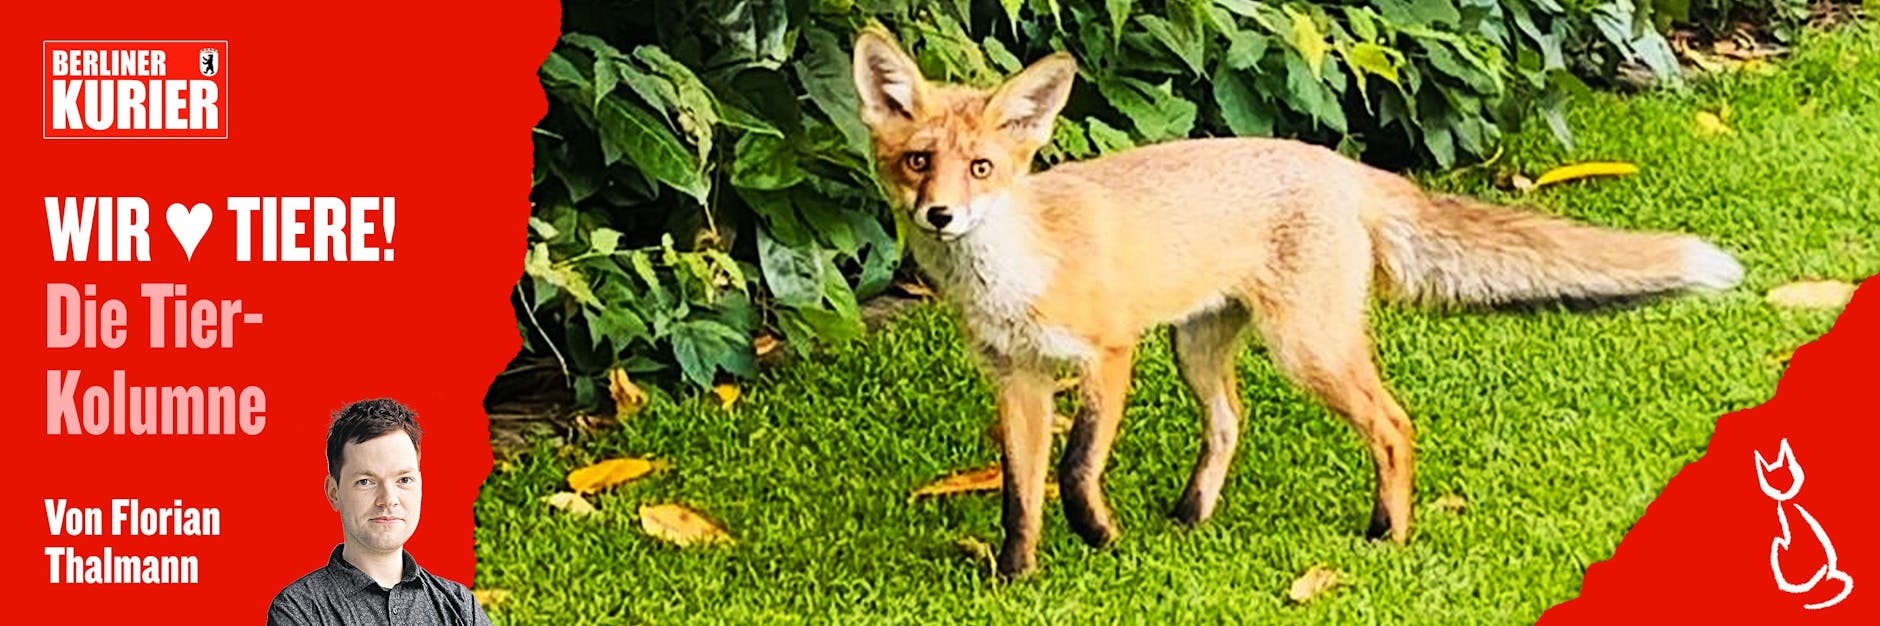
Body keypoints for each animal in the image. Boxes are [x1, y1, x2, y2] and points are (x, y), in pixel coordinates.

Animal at [849, 31, 1744, 578]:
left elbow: (1072, 472)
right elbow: (1017, 495)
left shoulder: (1110, 355)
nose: (940, 216)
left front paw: (1100, 538)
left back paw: (1389, 534)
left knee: (1394, 422)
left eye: (983, 169)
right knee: (1230, 423)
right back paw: (1192, 516)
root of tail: (1338, 163)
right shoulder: (1018, 380)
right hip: (1199, 348)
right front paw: (1017, 577)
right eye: (919, 161)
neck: (1014, 276)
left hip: (1305, 348)